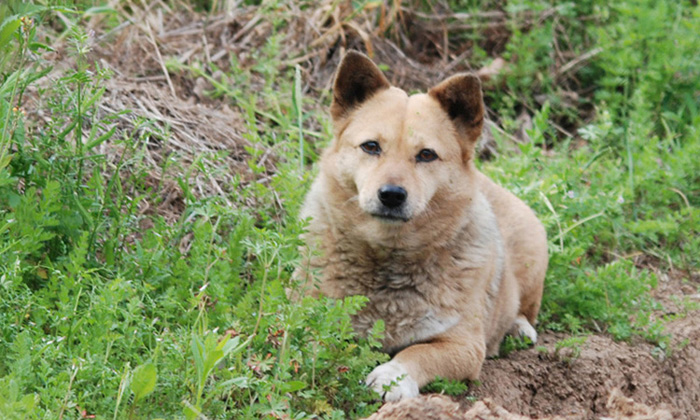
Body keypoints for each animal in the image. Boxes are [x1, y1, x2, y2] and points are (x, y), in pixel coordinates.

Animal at [296, 51, 548, 400]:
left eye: (426, 154)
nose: (391, 195)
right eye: (371, 146)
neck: (389, 261)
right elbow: (317, 340)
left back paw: (518, 328)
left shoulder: (464, 346)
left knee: (526, 310)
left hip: (534, 256)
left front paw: (392, 375)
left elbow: (417, 352)